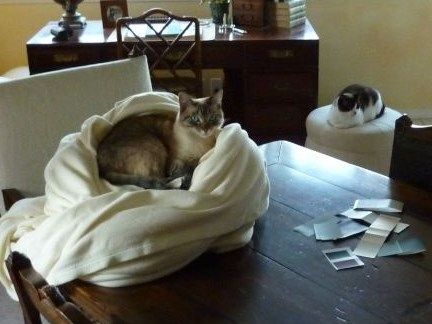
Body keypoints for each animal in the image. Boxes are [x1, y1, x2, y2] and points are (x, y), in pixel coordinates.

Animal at [96, 89, 224, 190]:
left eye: (212, 118)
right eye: (195, 119)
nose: (206, 130)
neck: (199, 142)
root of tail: (103, 170)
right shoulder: (176, 162)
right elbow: (177, 171)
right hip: (155, 145)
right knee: (160, 180)